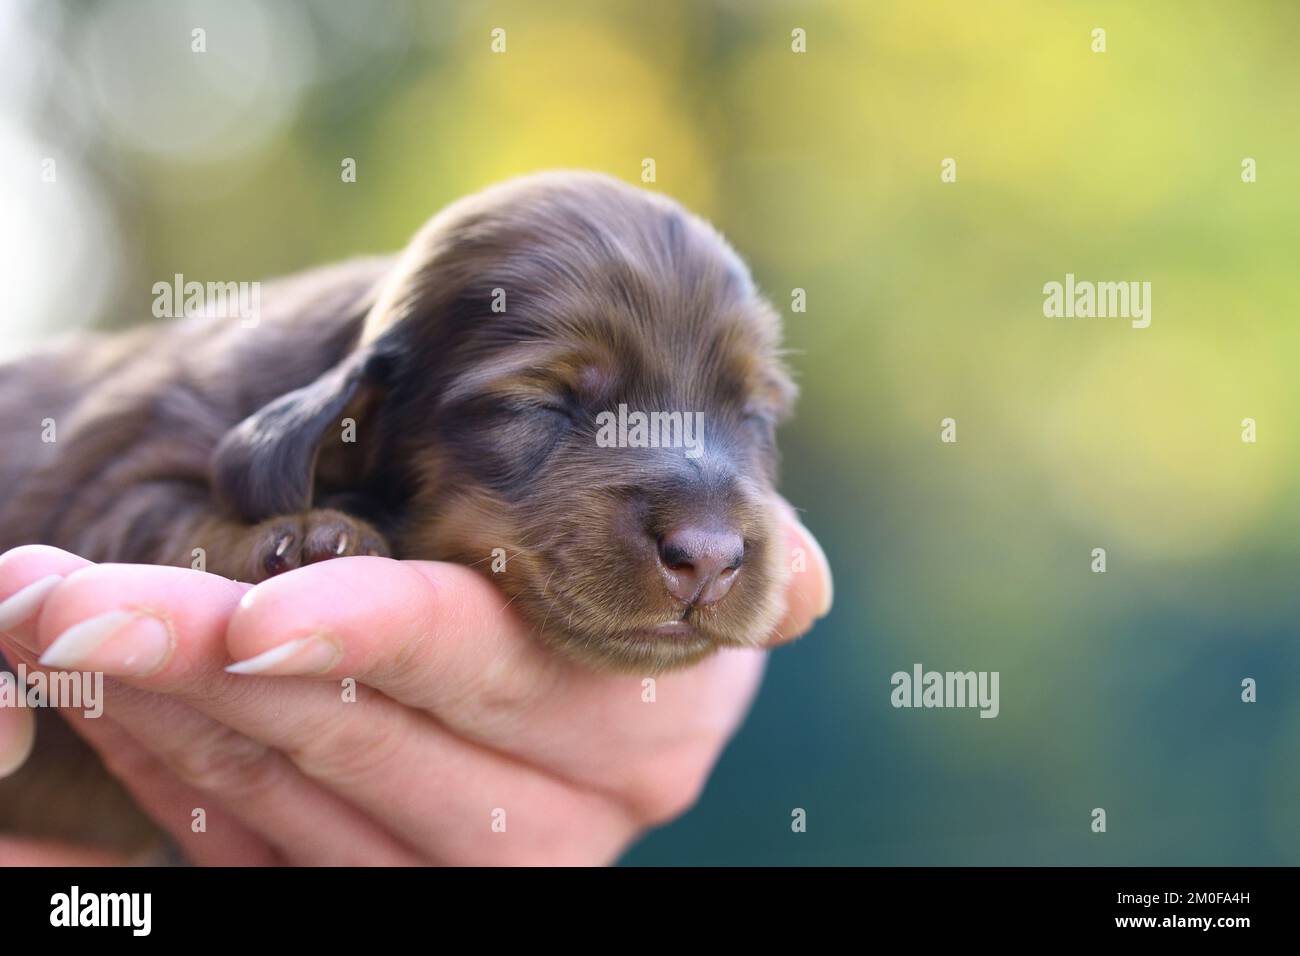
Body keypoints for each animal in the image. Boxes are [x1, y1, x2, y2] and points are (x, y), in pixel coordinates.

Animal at [0, 170, 795, 842]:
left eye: (754, 415)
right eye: (544, 404)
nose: (711, 557)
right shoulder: (111, 476)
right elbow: (156, 516)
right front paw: (306, 534)